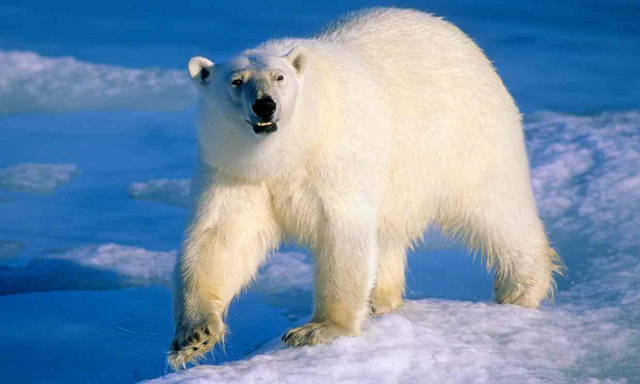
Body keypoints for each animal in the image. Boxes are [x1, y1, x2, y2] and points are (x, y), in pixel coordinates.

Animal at [168, 7, 564, 368]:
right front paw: (194, 336)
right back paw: (381, 300)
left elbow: (342, 232)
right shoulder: (234, 170)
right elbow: (221, 237)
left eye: (279, 77)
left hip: (469, 139)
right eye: (236, 81)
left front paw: (318, 329)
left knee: (498, 212)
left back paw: (520, 291)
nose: (265, 105)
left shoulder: (333, 160)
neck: (288, 150)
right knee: (389, 236)